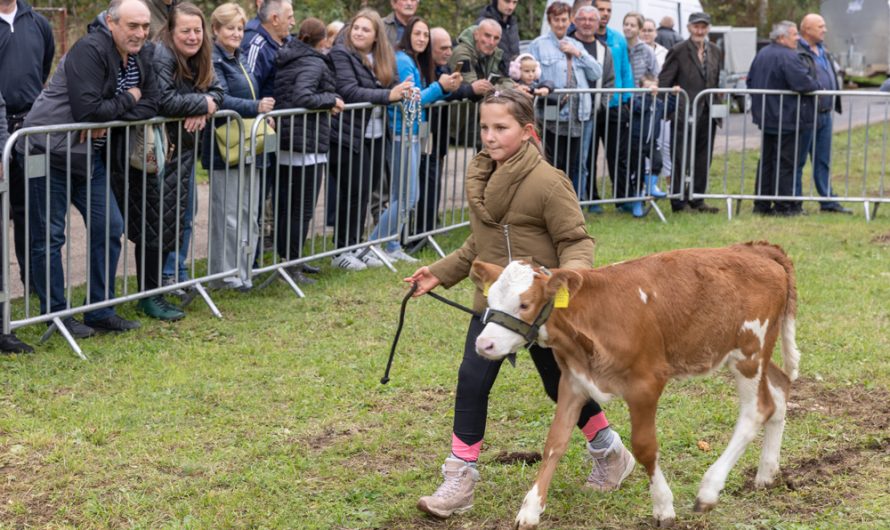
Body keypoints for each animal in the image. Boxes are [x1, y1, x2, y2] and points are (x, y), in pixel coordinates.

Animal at [472, 241, 796, 524]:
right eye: (490, 300)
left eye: (524, 304)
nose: (483, 344)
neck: (594, 317)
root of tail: (755, 249)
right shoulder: (573, 383)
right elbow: (555, 443)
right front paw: (530, 510)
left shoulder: (646, 384)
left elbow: (644, 446)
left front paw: (663, 506)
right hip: (750, 354)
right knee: (779, 389)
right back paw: (766, 473)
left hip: (750, 351)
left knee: (757, 410)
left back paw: (709, 490)